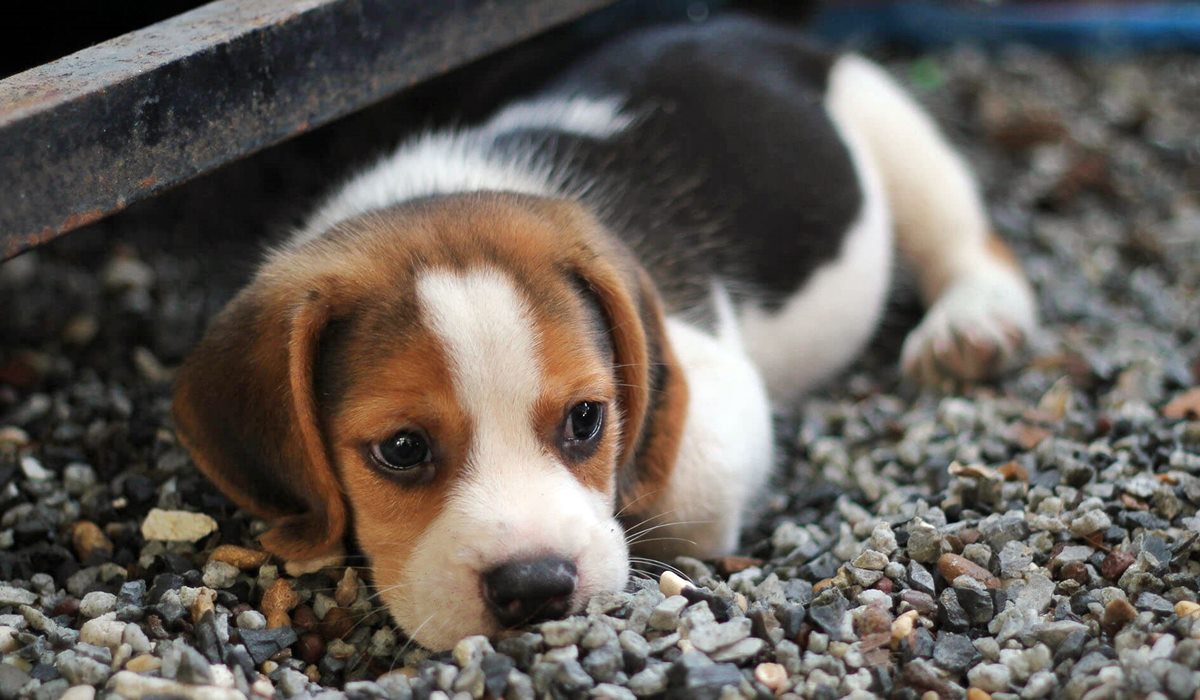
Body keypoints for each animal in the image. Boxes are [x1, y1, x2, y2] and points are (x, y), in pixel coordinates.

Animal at [174, 16, 1036, 653]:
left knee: (966, 237)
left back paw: (974, 324)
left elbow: (676, 482)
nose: (535, 588)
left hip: (889, 125)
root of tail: (741, 26)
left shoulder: (715, 387)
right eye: (402, 450)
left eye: (587, 419)